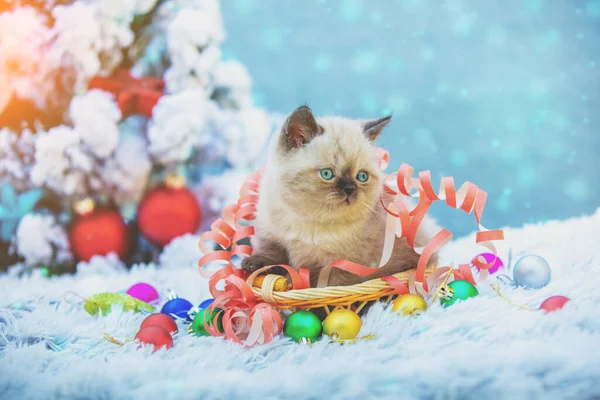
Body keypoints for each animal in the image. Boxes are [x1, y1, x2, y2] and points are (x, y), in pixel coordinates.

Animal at [240, 106, 440, 288]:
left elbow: (322, 289)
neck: (310, 223)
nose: (349, 189)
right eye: (327, 174)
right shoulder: (272, 237)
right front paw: (252, 266)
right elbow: (271, 255)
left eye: (362, 177)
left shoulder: (341, 268)